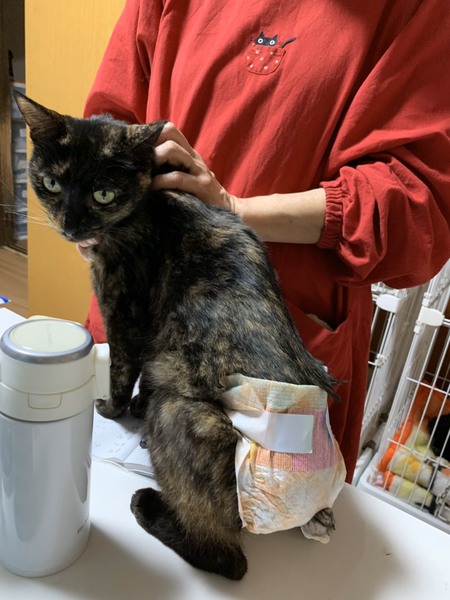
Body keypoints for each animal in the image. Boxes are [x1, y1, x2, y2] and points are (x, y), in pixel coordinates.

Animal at [16, 92, 339, 580]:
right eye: (52, 183)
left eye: (103, 193)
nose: (71, 227)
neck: (146, 204)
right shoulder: (161, 336)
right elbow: (145, 375)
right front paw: (133, 405)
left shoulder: (125, 311)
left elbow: (121, 367)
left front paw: (111, 408)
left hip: (179, 415)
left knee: (228, 558)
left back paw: (149, 506)